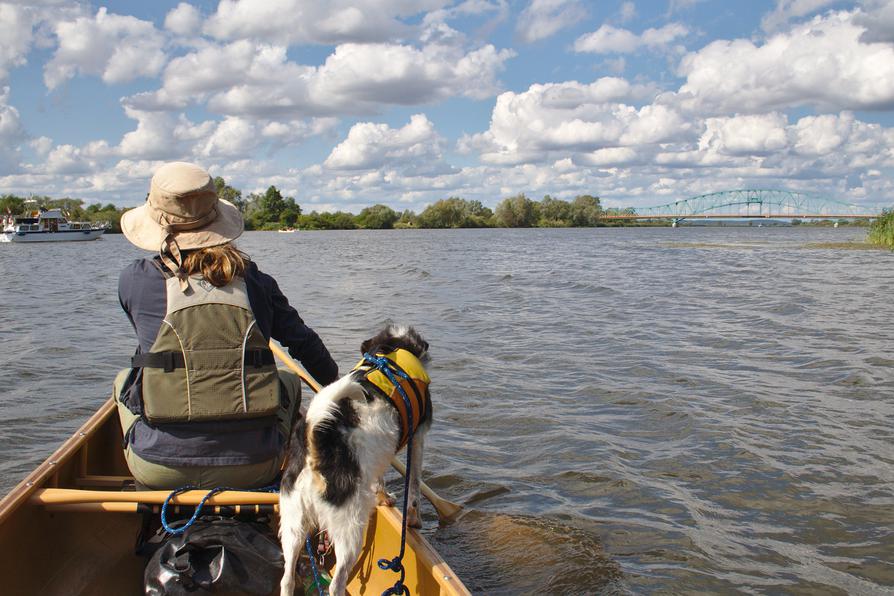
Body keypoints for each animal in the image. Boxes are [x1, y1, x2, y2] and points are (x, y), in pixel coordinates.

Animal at [280, 326, 434, 596]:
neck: (390, 350)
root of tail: (315, 441)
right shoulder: (418, 438)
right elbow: (414, 485)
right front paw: (414, 520)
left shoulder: (379, 455)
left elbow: (380, 479)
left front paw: (384, 497)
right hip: (349, 527)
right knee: (337, 582)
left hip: (293, 522)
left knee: (287, 579)